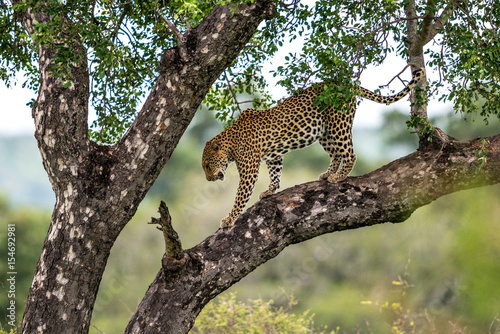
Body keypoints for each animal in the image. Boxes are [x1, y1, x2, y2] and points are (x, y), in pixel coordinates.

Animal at [201, 69, 424, 228]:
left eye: (207, 165)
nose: (208, 179)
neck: (230, 144)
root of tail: (343, 83)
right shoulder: (274, 157)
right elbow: (275, 174)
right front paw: (270, 190)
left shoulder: (249, 170)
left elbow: (240, 196)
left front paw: (228, 219)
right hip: (323, 132)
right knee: (336, 153)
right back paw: (328, 174)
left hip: (338, 124)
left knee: (350, 153)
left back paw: (338, 177)